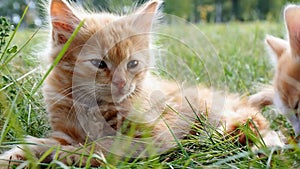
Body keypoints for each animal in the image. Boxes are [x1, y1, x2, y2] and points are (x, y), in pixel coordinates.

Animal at [0, 0, 284, 167]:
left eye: (132, 64)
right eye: (99, 64)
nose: (121, 84)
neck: (95, 107)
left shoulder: (154, 134)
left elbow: (97, 147)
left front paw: (59, 153)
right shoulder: (64, 131)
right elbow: (45, 144)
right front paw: (16, 156)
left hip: (224, 118)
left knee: (255, 126)